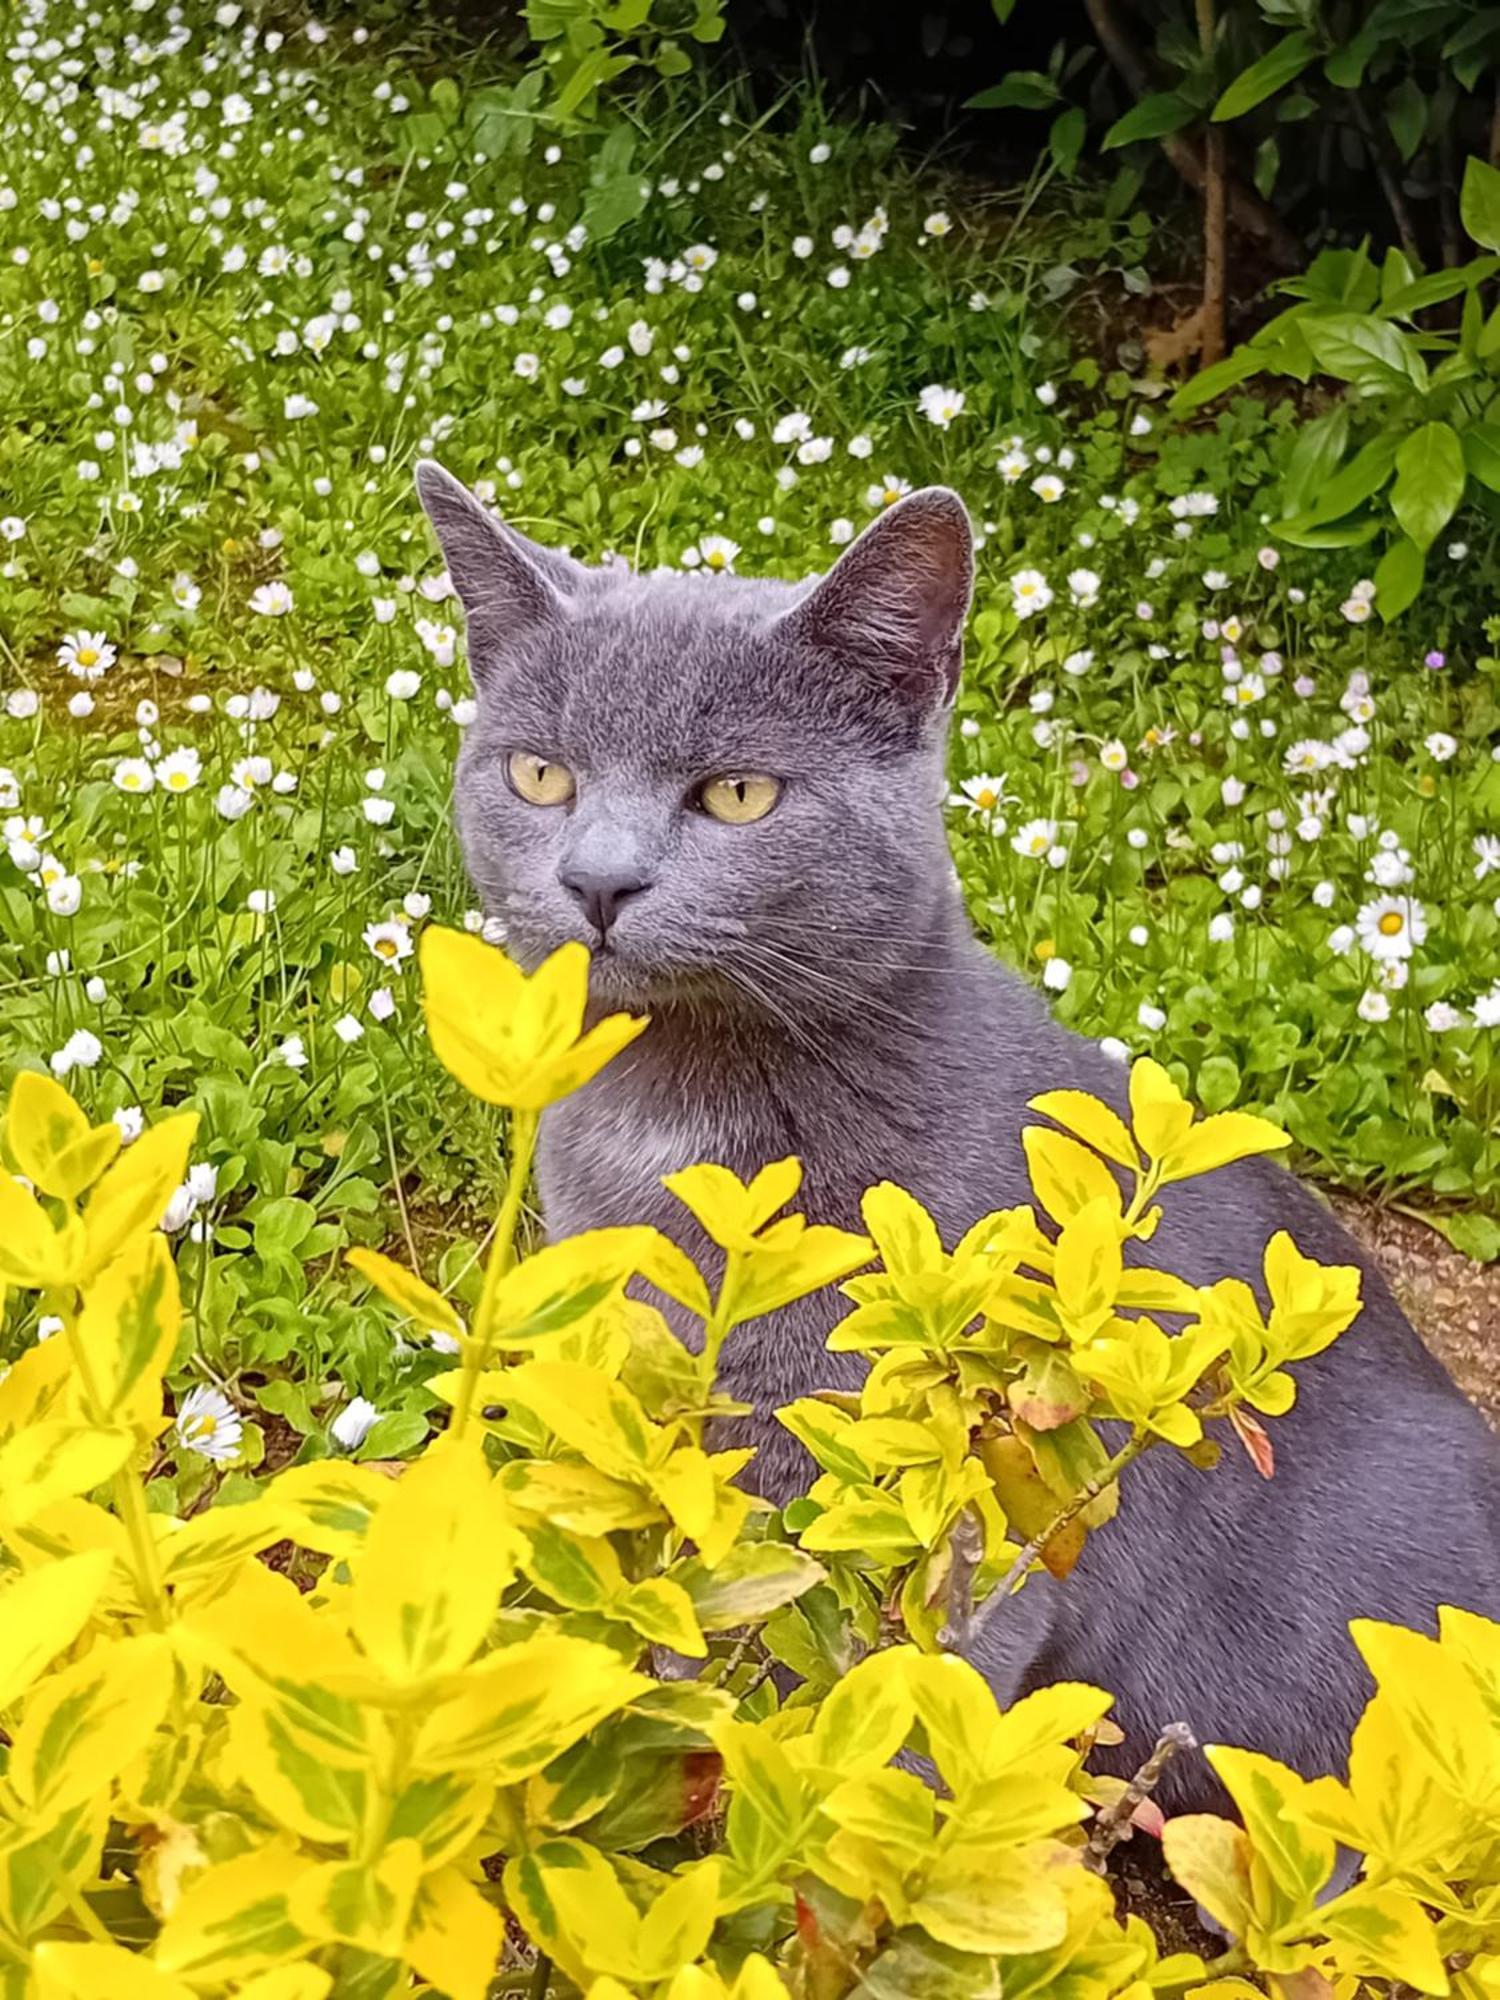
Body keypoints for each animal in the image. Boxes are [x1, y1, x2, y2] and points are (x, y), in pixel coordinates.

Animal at [414, 464, 1500, 1816]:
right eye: (540, 775)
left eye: (737, 792)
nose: (599, 881)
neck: (673, 1116)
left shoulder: (964, 1519)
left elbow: (901, 1731)